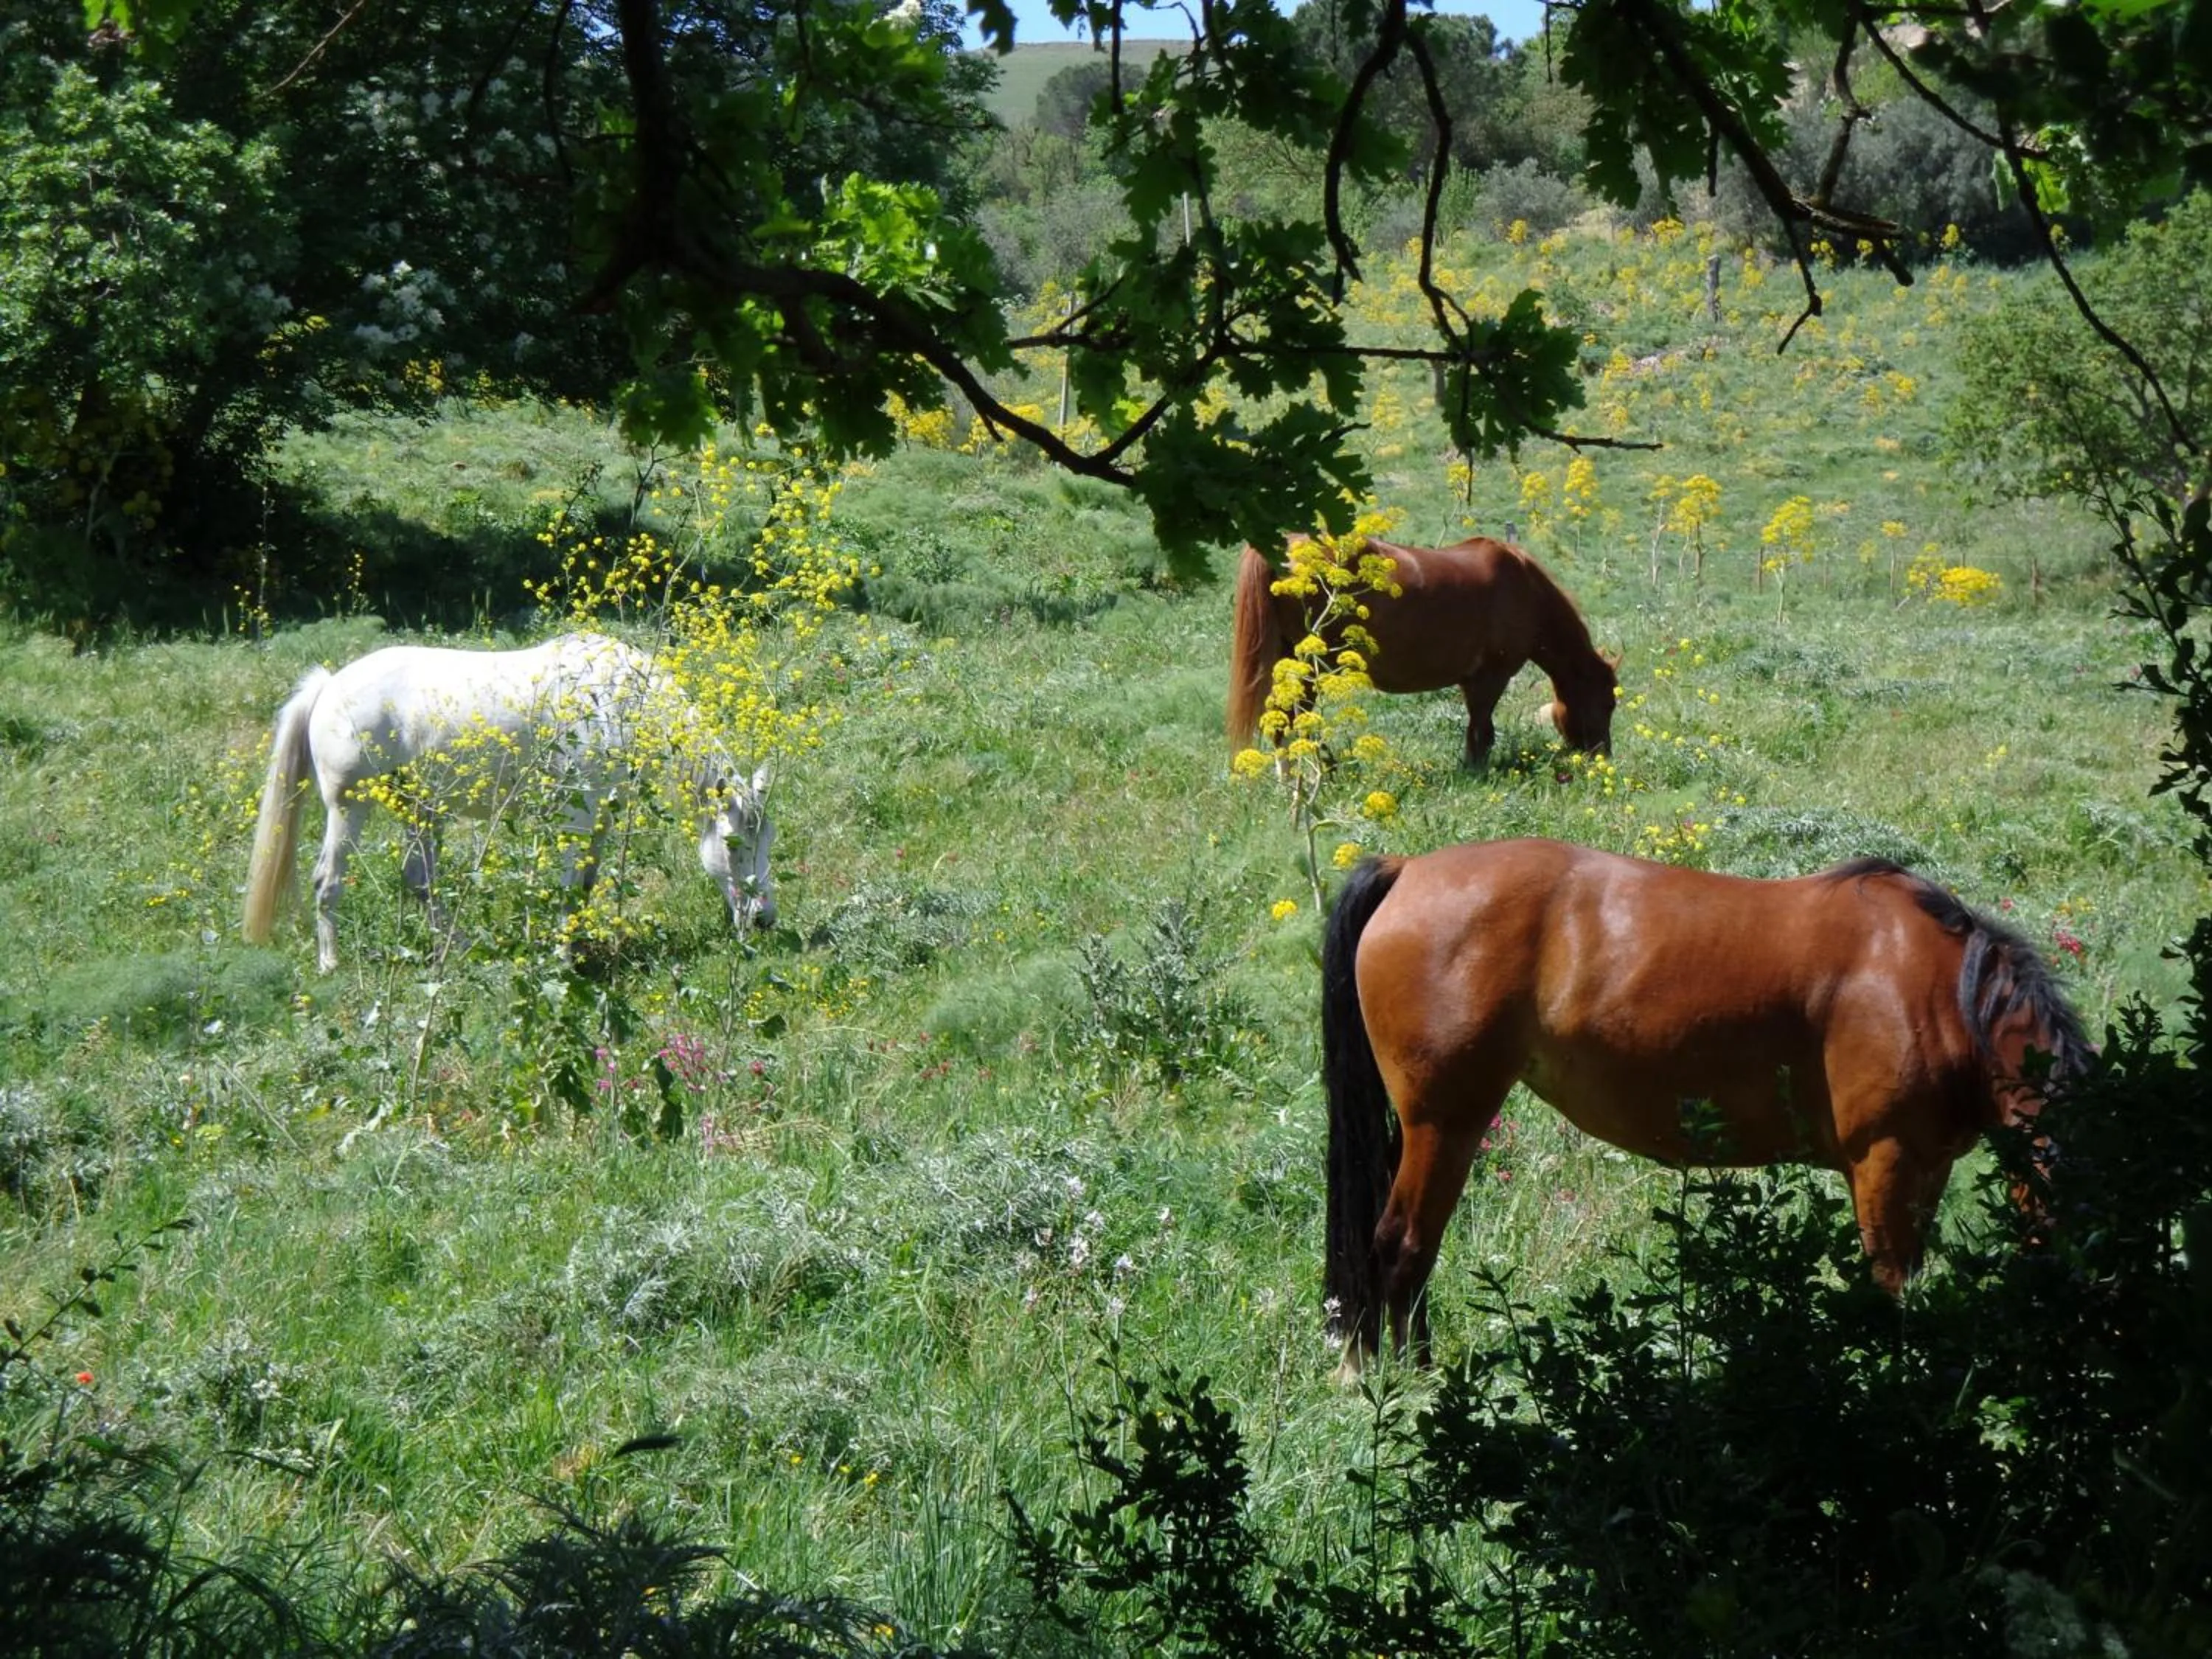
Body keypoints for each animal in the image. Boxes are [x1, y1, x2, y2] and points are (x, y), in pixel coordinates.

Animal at [242, 633, 775, 973]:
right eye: (733, 844)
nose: (763, 920)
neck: (618, 705)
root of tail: (327, 686)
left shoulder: (599, 821)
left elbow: (583, 888)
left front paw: (578, 945)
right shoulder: (577, 817)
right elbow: (566, 890)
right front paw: (563, 959)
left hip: (419, 809)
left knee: (420, 883)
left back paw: (455, 949)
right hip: (349, 809)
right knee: (328, 882)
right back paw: (330, 962)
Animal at [1228, 535, 1619, 767]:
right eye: (1608, 703)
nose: (1603, 755)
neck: (1525, 588)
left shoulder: (1472, 681)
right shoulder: (1490, 678)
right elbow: (1482, 730)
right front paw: (1476, 771)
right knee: (1297, 720)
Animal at [1321, 838, 2091, 1374]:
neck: (1939, 990)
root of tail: (1408, 869)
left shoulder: (1926, 1169)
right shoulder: (1886, 1163)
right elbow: (1891, 1287)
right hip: (1445, 1124)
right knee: (1403, 1246)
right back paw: (1415, 1384)